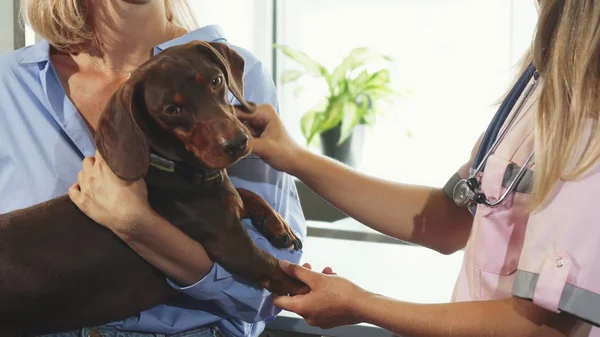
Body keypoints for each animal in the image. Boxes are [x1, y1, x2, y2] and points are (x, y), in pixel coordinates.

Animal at [0, 40, 304, 334]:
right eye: (172, 109)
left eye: (216, 81)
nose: (237, 143)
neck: (178, 170)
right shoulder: (232, 245)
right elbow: (279, 270)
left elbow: (247, 194)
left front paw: (279, 227)